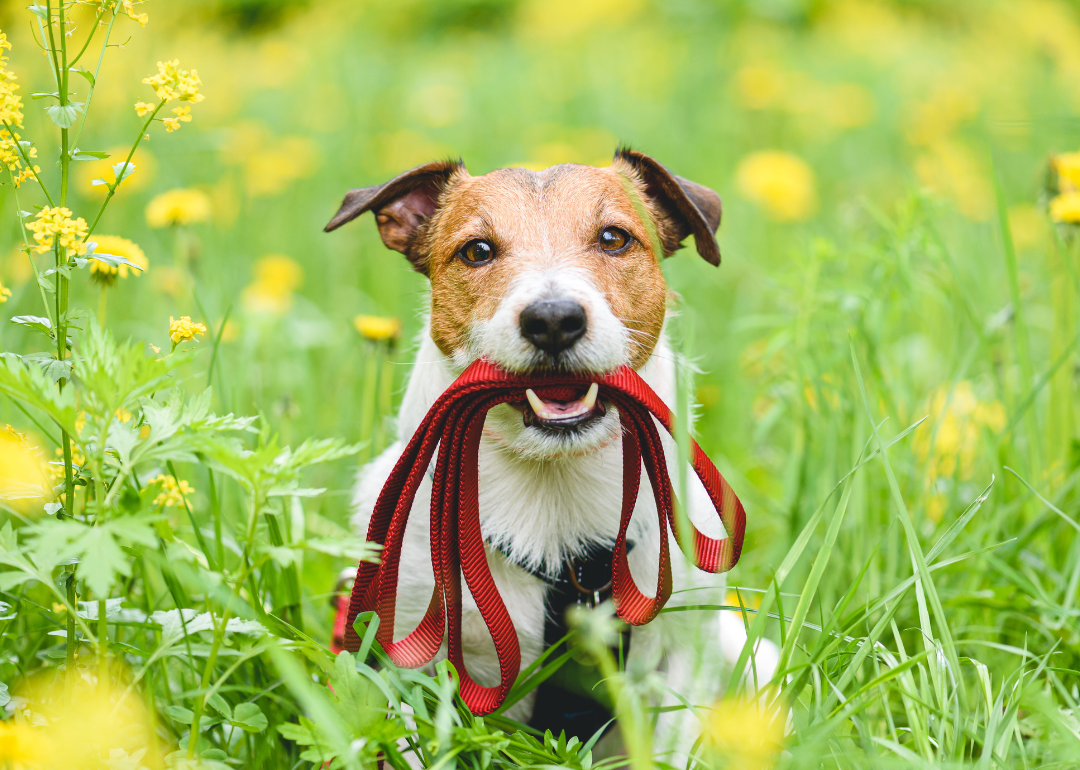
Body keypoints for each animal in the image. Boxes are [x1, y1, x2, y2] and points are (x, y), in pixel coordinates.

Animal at [324, 149, 773, 755]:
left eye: (614, 238)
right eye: (477, 250)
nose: (554, 318)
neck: (553, 489)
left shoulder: (684, 652)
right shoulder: (405, 653)